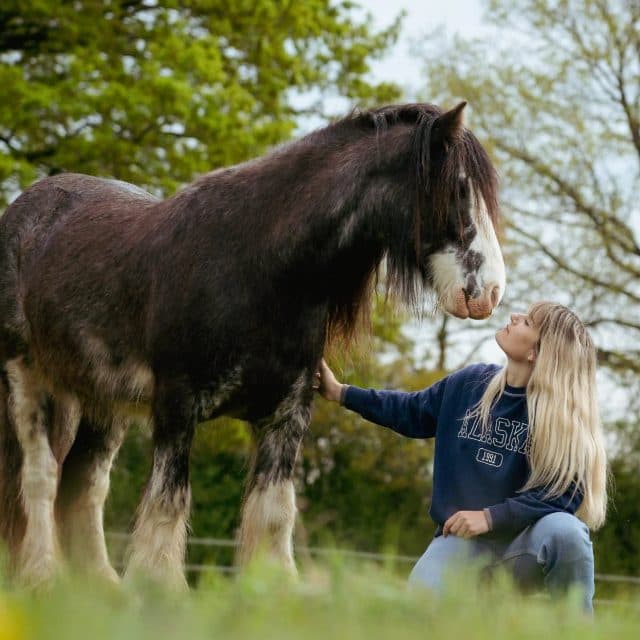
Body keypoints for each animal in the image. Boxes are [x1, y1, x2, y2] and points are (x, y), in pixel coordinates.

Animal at [0, 101, 504, 589]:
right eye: (459, 190)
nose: (491, 293)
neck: (259, 266)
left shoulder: (288, 413)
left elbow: (274, 512)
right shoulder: (177, 406)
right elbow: (169, 502)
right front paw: (160, 591)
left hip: (104, 400)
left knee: (85, 483)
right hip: (26, 377)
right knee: (41, 477)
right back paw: (41, 576)